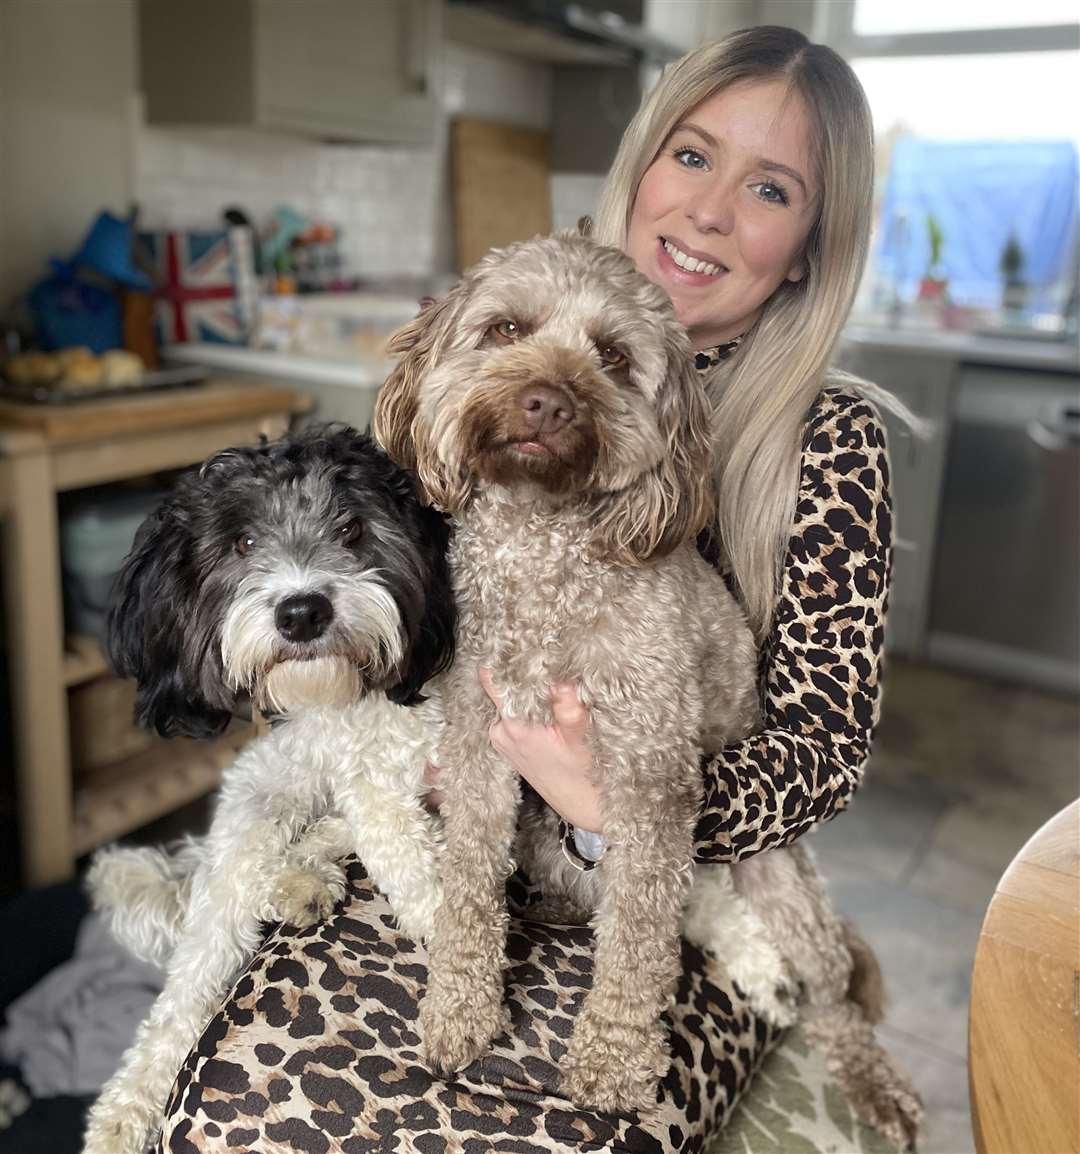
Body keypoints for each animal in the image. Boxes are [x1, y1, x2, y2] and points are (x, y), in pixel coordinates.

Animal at [84, 424, 454, 1154]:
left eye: (351, 527)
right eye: (244, 544)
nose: (303, 612)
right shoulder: (356, 777)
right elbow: (403, 852)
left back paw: (305, 869)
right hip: (258, 798)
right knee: (193, 973)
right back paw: (126, 1107)